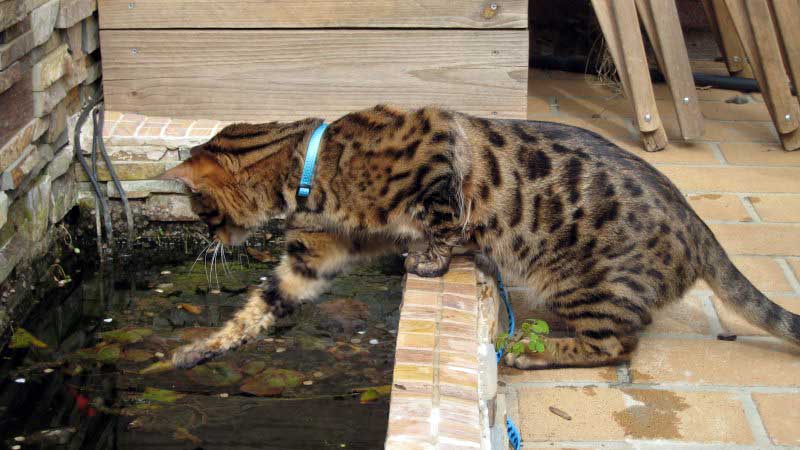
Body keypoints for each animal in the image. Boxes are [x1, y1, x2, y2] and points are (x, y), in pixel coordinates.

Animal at [161, 104, 800, 370]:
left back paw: (531, 351)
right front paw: (198, 350)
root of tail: (697, 222)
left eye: (200, 206)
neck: (315, 168)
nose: (207, 236)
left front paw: (429, 259)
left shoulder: (441, 156)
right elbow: (264, 304)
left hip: (587, 283)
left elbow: (446, 220)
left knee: (617, 345)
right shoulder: (319, 253)